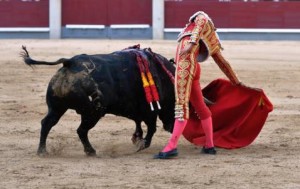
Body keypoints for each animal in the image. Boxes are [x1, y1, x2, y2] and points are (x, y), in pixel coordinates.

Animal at [21, 46, 178, 157]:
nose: (172, 128)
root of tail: (70, 62)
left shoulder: (138, 111)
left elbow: (138, 124)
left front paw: (137, 139)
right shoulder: (150, 110)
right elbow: (151, 128)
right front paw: (142, 145)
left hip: (57, 108)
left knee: (47, 123)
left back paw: (42, 151)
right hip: (92, 112)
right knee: (81, 130)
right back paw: (91, 151)